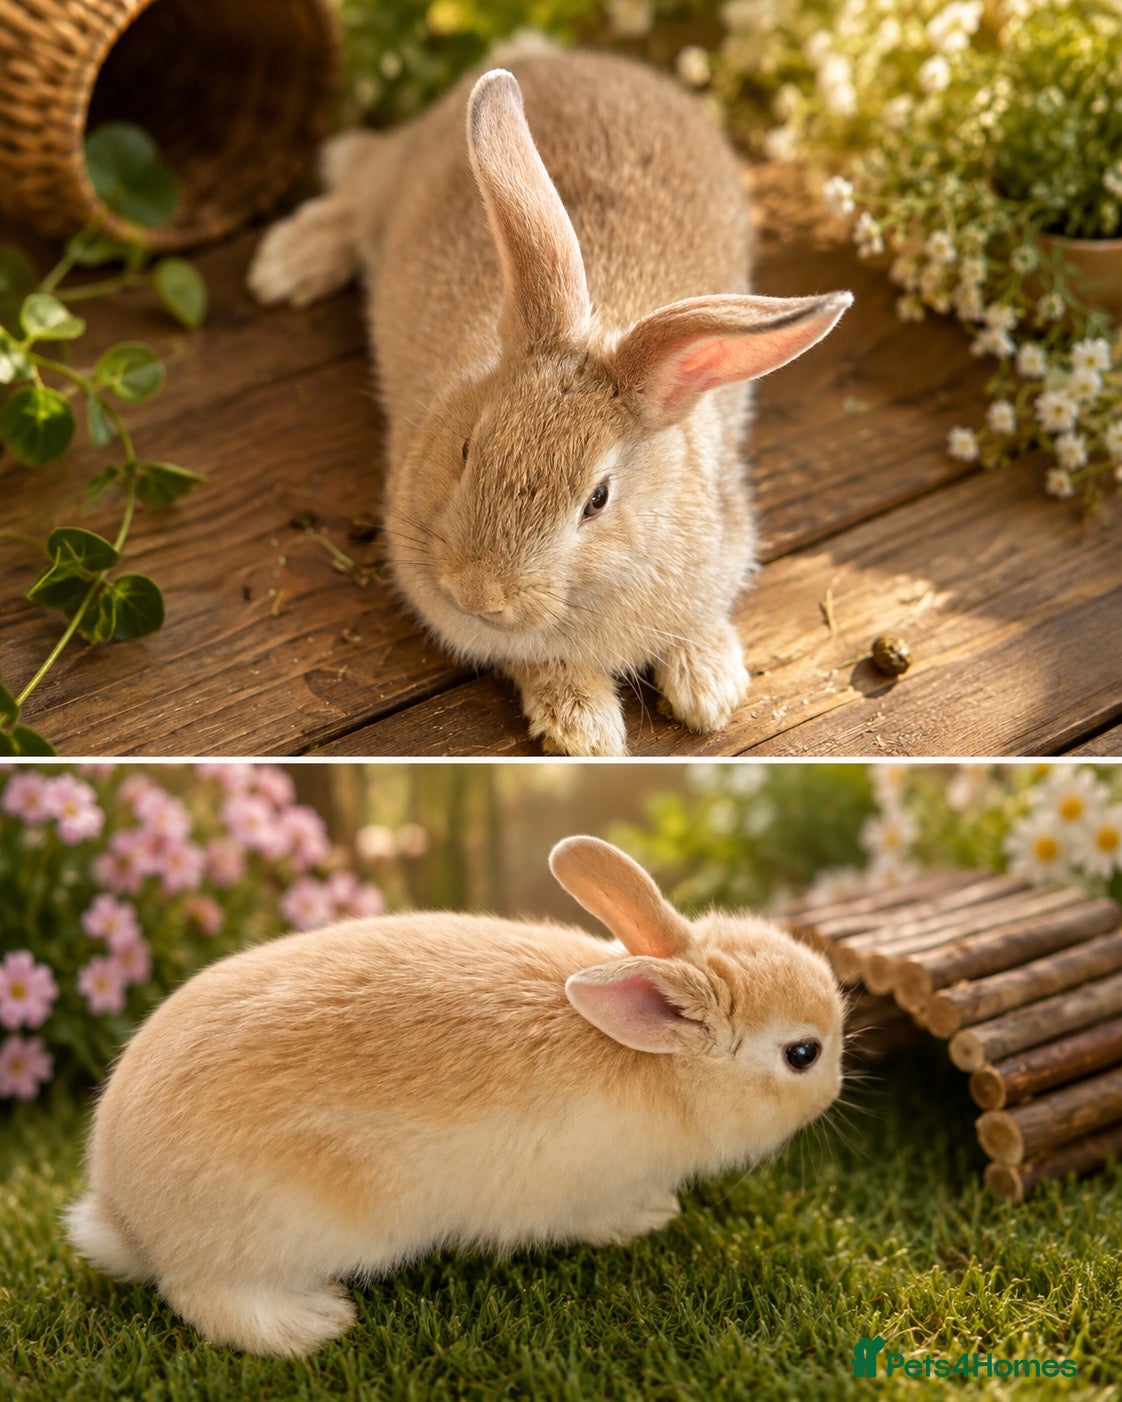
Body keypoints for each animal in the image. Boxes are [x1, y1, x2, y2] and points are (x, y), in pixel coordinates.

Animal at [66, 836, 844, 1358]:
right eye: (802, 1054)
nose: (837, 1088)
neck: (661, 1064)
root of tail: (125, 1212)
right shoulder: (581, 1191)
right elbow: (599, 1218)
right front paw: (652, 1217)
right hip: (275, 1233)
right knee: (205, 1299)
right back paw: (313, 1324)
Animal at [247, 49, 852, 756]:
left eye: (598, 499)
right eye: (466, 450)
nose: (478, 593)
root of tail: (572, 58)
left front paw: (710, 690)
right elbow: (540, 664)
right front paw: (585, 729)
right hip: (389, 185)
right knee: (356, 183)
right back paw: (286, 264)